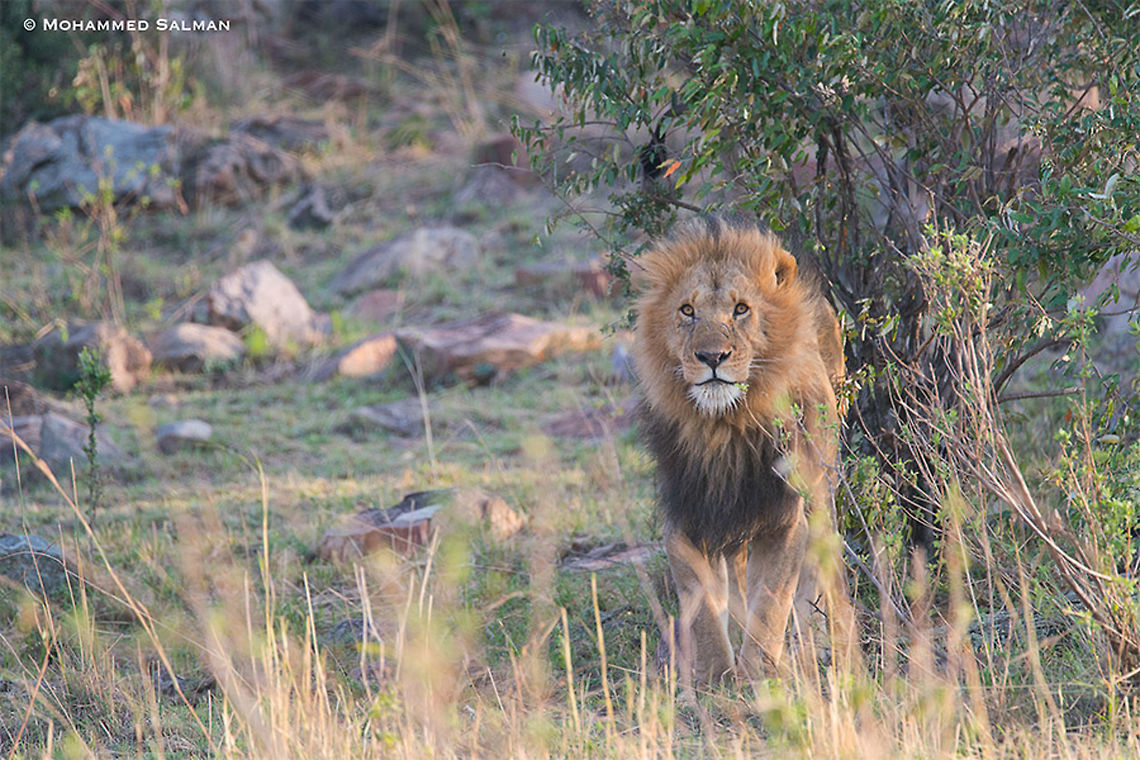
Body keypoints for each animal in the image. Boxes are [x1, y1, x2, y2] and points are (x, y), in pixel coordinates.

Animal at [632, 216, 845, 684]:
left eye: (741, 309)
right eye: (687, 311)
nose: (712, 356)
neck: (723, 428)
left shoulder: (785, 517)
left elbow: (771, 602)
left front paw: (759, 673)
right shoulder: (687, 517)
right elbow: (703, 607)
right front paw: (714, 675)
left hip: (821, 491)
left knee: (823, 571)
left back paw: (826, 639)